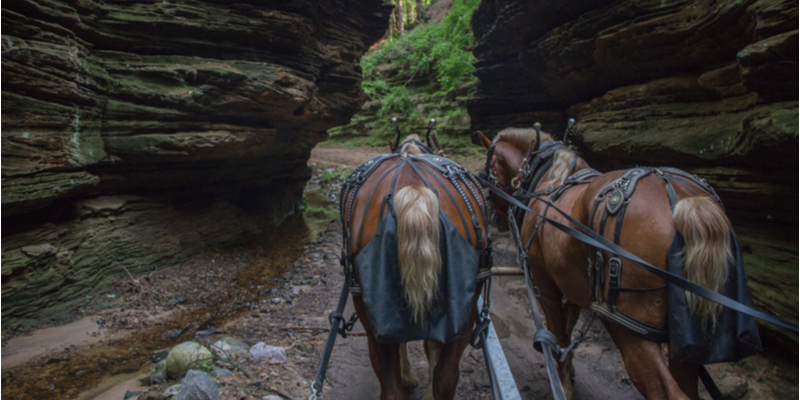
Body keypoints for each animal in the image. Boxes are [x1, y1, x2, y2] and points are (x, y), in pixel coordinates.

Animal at [478, 128, 736, 400]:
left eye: (488, 166)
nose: (496, 218)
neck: (547, 181)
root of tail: (684, 203)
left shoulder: (544, 283)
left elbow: (557, 332)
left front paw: (563, 382)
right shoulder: (574, 286)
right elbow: (567, 331)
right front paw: (569, 371)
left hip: (629, 328)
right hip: (684, 340)